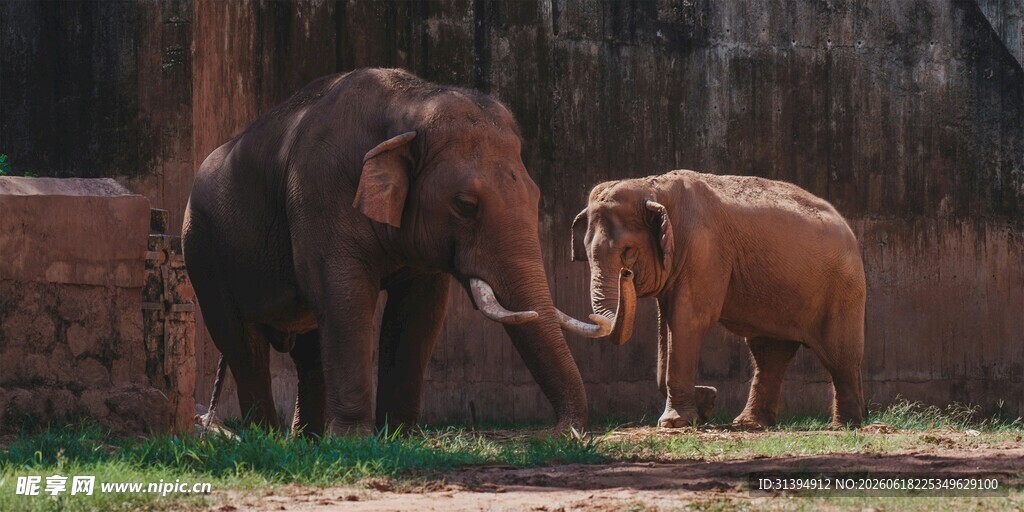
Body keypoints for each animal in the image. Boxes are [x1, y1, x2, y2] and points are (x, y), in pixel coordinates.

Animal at [183, 68, 603, 436]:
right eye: (465, 205)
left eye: (536, 198)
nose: (556, 434)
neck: (410, 105)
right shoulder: (319, 194)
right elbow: (345, 297)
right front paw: (353, 440)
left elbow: (419, 309)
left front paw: (399, 437)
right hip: (203, 252)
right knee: (243, 343)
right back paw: (265, 437)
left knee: (307, 346)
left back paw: (306, 441)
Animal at [563, 170, 866, 428]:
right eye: (585, 252)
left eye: (628, 251)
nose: (625, 274)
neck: (654, 187)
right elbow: (669, 324)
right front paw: (706, 403)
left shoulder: (702, 250)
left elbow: (688, 321)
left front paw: (675, 423)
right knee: (768, 353)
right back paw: (750, 424)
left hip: (842, 289)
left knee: (838, 355)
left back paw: (843, 425)